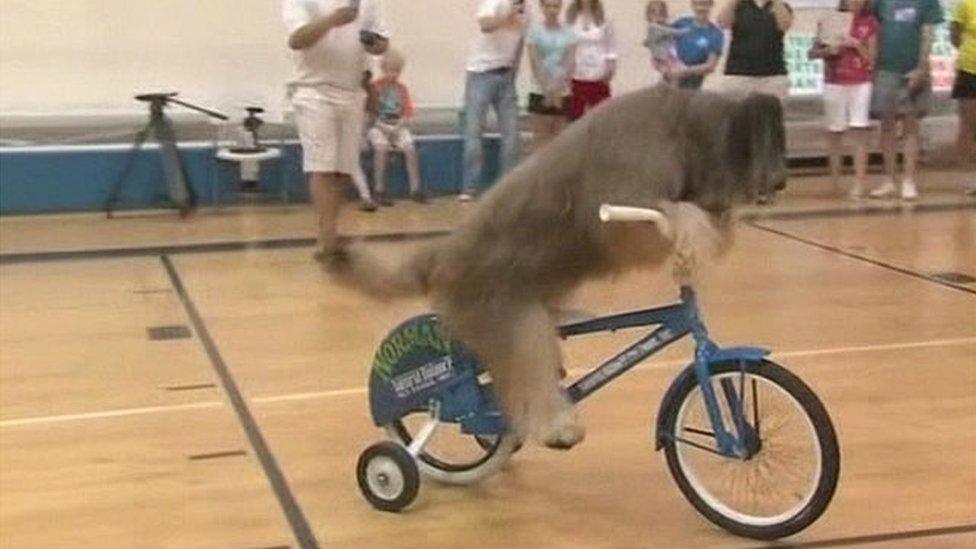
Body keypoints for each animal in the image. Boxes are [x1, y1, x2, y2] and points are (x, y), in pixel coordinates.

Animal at [326, 82, 784, 450]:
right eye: (765, 147)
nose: (780, 183)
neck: (687, 128)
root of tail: (442, 256)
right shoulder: (630, 188)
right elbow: (650, 220)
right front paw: (693, 226)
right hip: (503, 315)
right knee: (527, 369)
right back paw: (554, 425)